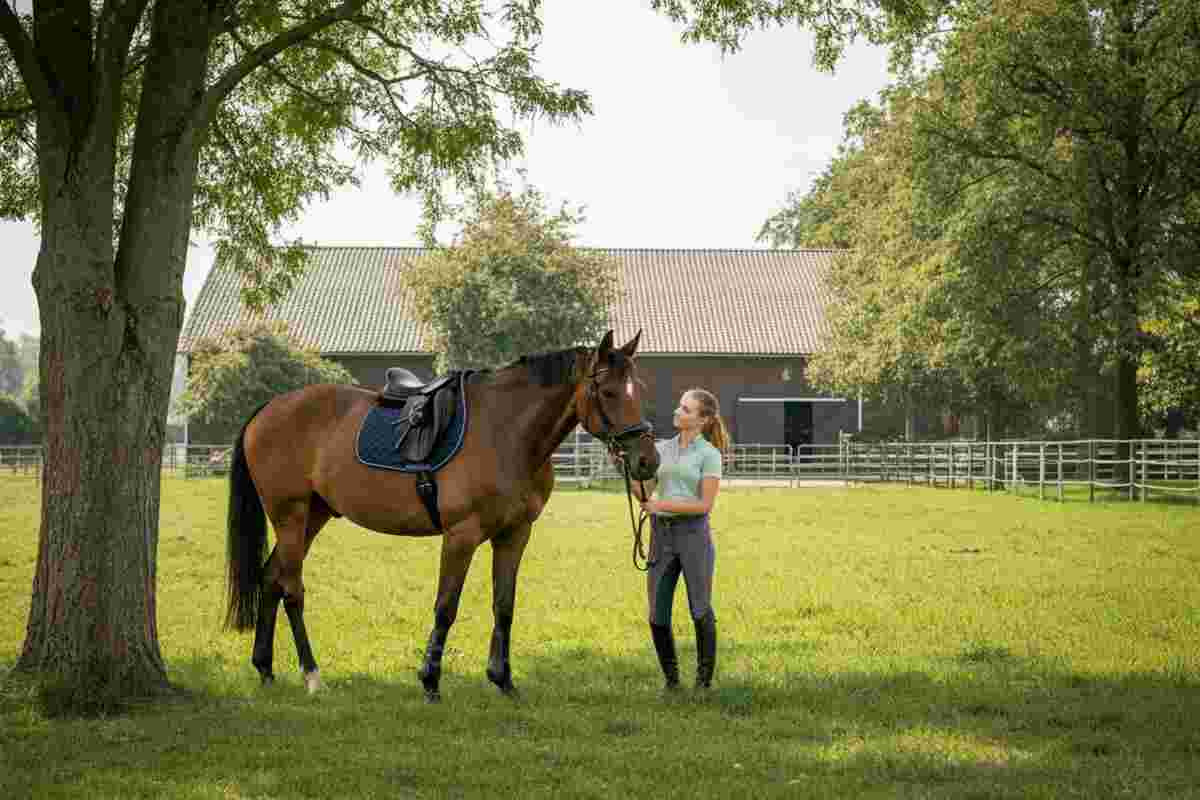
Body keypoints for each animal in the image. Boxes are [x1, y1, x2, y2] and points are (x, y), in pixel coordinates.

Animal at [224, 330, 659, 701]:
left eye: (640, 391)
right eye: (608, 391)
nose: (647, 461)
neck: (505, 432)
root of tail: (269, 408)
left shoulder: (514, 534)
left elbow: (504, 605)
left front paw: (503, 679)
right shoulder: (461, 536)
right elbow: (446, 606)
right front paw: (430, 681)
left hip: (314, 514)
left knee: (270, 578)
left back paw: (265, 668)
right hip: (290, 515)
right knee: (292, 590)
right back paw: (312, 675)